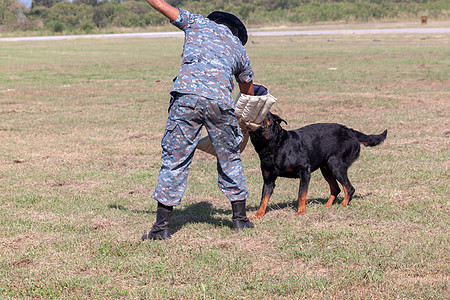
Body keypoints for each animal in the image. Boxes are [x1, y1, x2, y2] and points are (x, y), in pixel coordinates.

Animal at [246, 111, 386, 217]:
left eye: (265, 112)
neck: (275, 145)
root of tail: (351, 131)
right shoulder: (268, 180)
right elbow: (263, 199)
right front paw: (257, 215)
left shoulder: (304, 172)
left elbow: (301, 194)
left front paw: (301, 212)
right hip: (326, 168)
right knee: (336, 189)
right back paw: (327, 206)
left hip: (336, 165)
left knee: (349, 188)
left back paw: (342, 205)